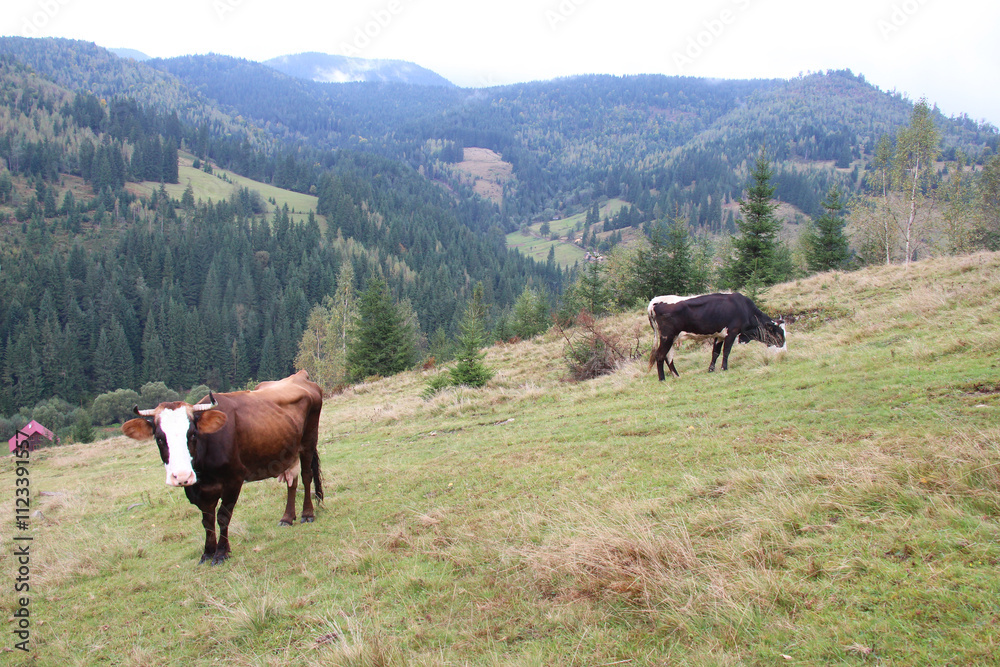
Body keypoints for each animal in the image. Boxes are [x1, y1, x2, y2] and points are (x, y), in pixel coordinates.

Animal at [121, 370, 324, 565]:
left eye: (193, 434)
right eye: (159, 438)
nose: (181, 476)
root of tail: (299, 376)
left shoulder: (234, 479)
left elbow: (222, 516)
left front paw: (221, 553)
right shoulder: (199, 490)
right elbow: (207, 520)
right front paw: (207, 552)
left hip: (308, 441)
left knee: (306, 476)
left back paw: (307, 513)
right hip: (289, 450)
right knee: (292, 482)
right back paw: (287, 517)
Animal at [648, 292, 785, 380]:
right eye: (778, 332)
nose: (783, 346)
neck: (743, 308)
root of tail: (654, 301)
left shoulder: (719, 335)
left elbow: (715, 352)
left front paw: (711, 369)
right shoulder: (732, 332)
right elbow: (726, 351)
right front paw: (724, 368)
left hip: (671, 338)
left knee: (668, 356)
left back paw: (677, 376)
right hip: (667, 337)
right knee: (660, 355)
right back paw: (662, 379)